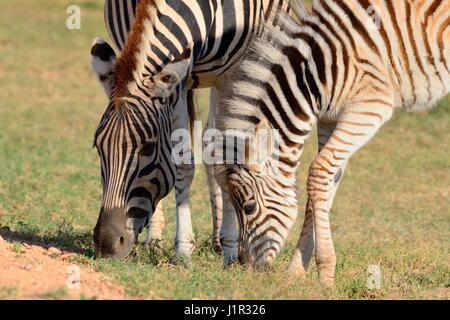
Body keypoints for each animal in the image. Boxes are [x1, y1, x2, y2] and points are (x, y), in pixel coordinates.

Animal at [90, 0, 292, 264]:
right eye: (98, 146)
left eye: (148, 148)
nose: (106, 244)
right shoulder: (174, 78)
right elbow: (182, 163)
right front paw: (183, 249)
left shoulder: (235, 72)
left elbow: (226, 154)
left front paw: (227, 249)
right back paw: (154, 240)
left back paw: (221, 240)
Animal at [212, 0, 450, 284]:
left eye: (249, 208)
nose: (246, 268)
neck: (316, 74)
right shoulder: (329, 119)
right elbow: (326, 183)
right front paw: (296, 270)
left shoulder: (370, 107)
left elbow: (317, 171)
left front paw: (324, 272)